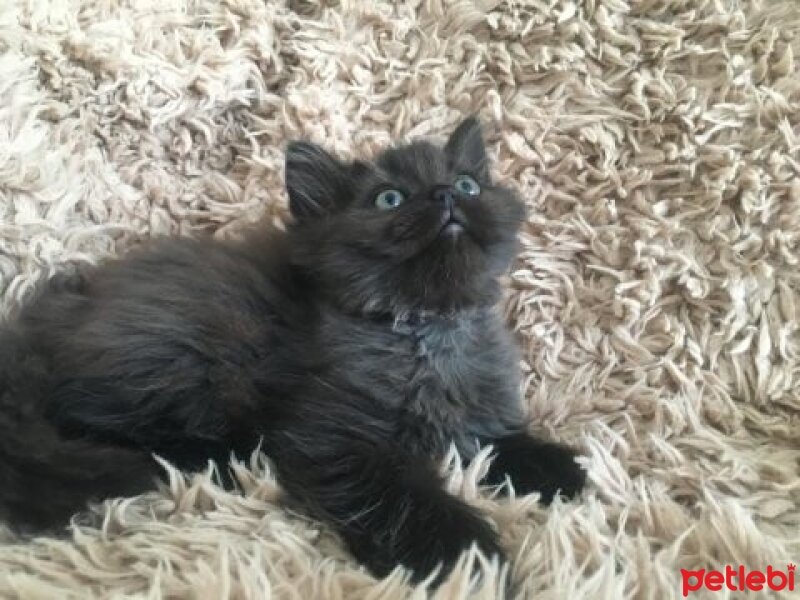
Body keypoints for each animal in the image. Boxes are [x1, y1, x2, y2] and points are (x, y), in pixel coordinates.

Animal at [0, 116, 584, 580]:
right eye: (389, 198)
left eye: (467, 184)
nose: (445, 195)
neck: (426, 332)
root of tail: (40, 326)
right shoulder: (333, 439)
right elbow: (401, 497)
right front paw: (464, 554)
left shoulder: (475, 412)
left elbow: (498, 441)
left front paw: (557, 469)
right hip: (183, 357)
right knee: (104, 424)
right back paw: (218, 459)